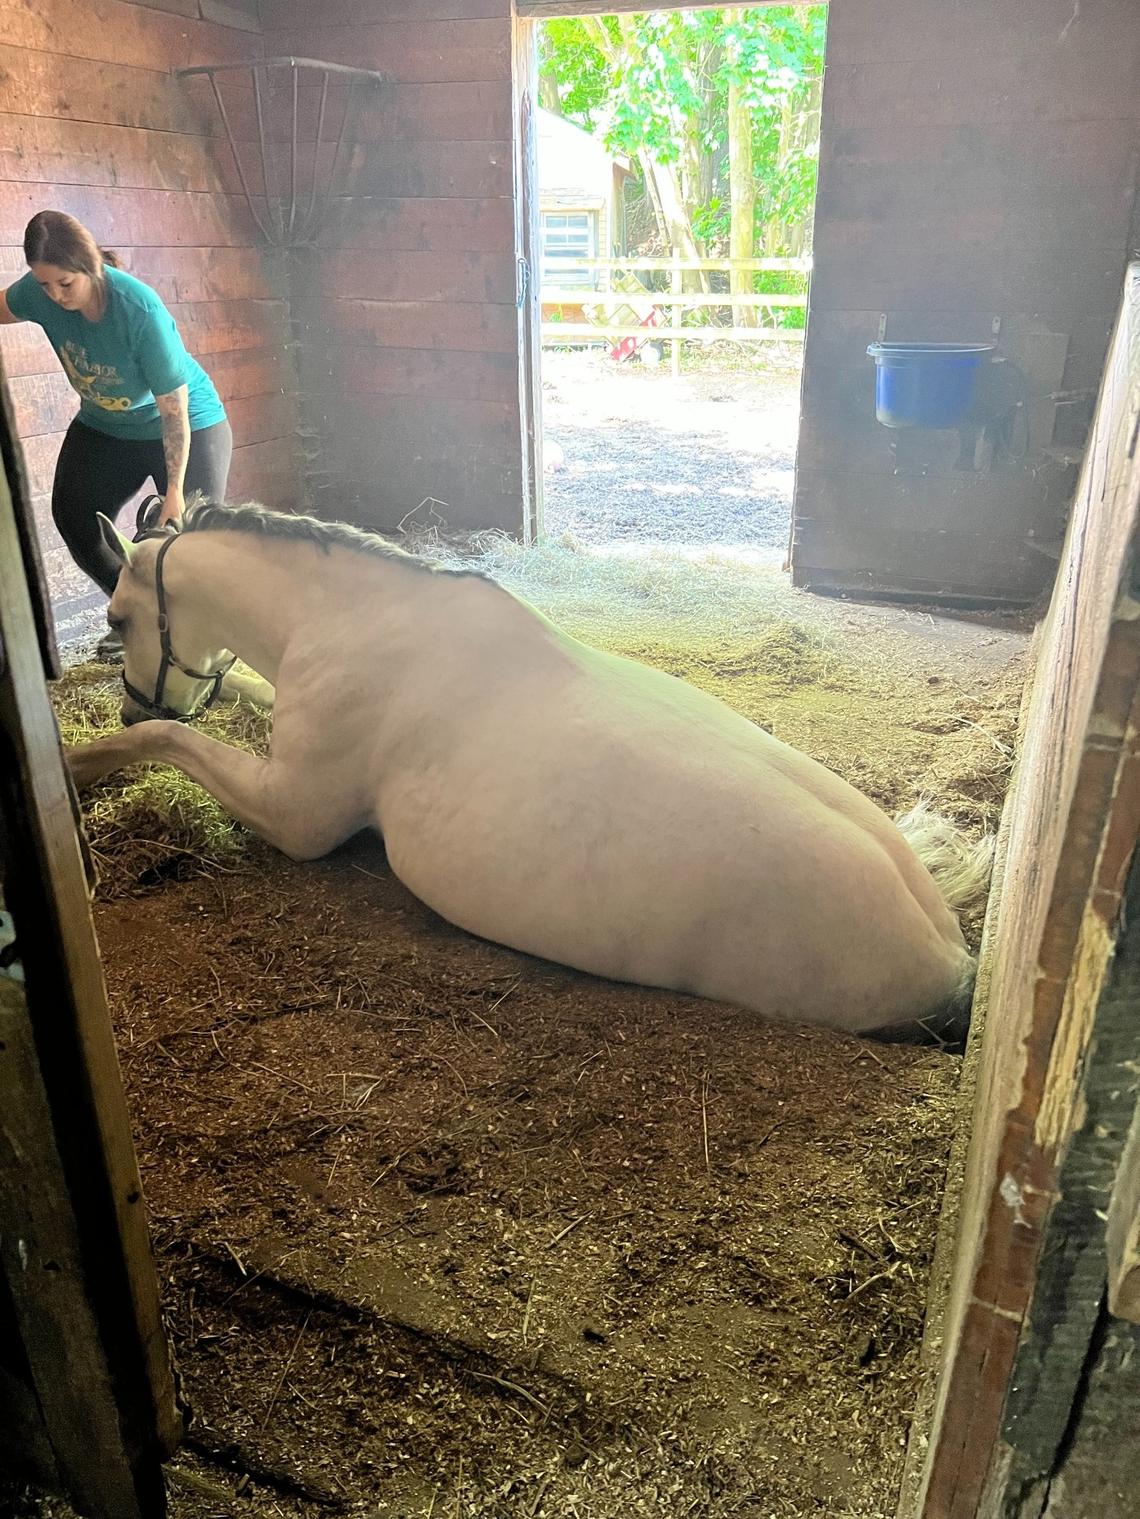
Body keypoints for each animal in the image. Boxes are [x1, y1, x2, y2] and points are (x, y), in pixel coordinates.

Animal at [66, 500, 991, 1044]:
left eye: (116, 616)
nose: (130, 708)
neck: (348, 619)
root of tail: (949, 954)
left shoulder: (297, 816)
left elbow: (178, 746)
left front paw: (80, 762)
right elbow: (241, 694)